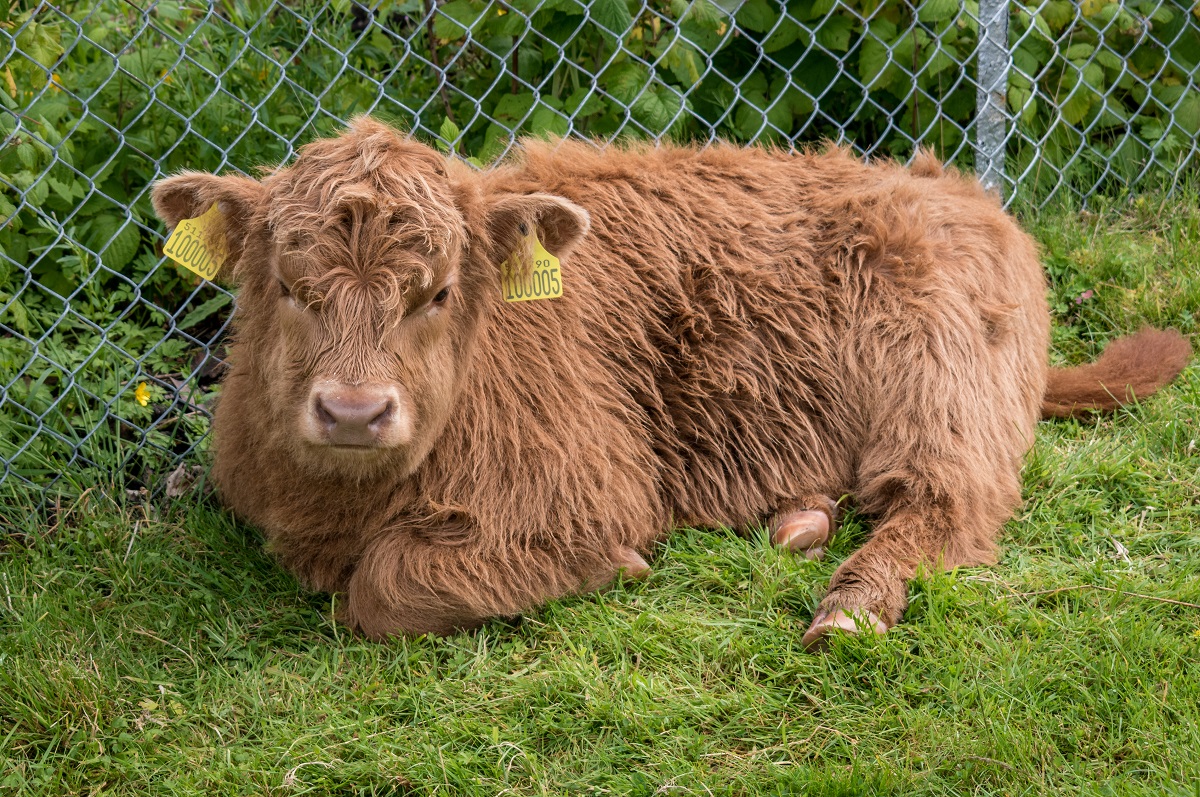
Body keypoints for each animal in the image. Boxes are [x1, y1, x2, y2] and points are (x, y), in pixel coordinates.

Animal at [152, 121, 1190, 652]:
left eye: (436, 291)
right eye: (291, 286)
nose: (354, 411)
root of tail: (959, 190)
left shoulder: (585, 488)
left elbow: (387, 588)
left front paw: (613, 566)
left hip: (941, 392)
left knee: (943, 506)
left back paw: (848, 607)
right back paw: (802, 516)